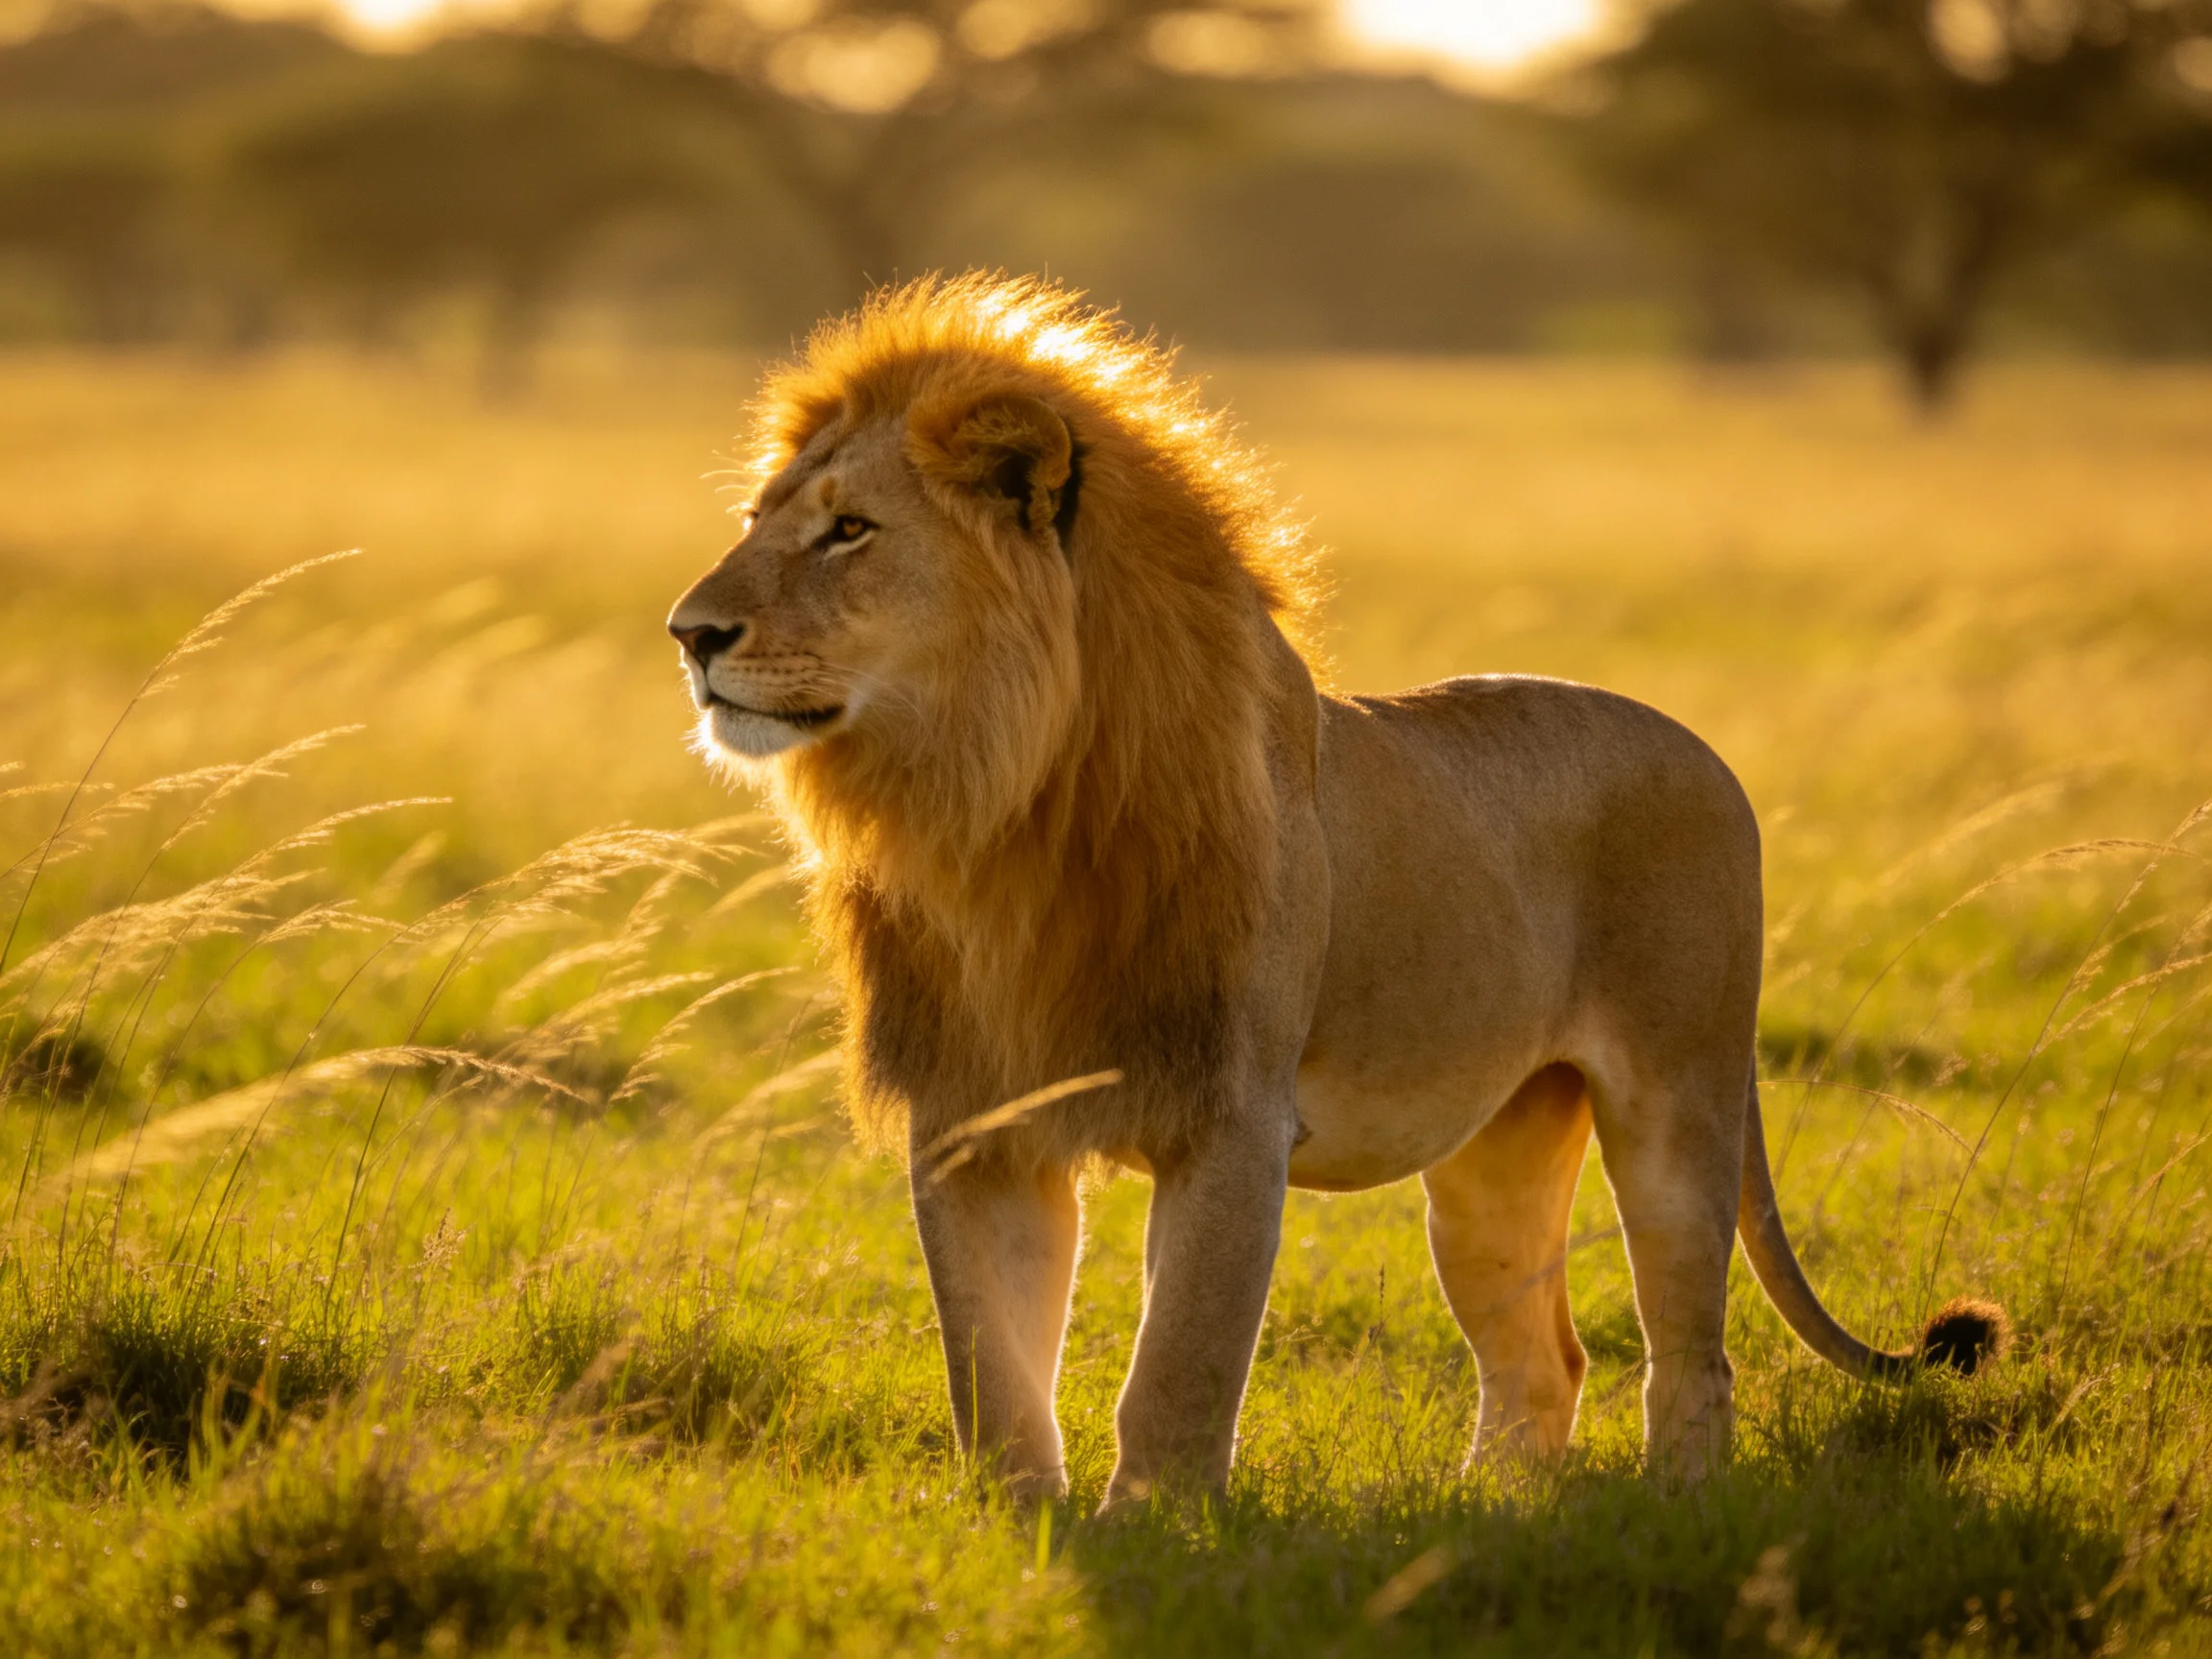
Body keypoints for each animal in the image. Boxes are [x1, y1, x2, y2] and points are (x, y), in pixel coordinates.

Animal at [667, 275, 2006, 1507]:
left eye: (850, 531)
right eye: (755, 519)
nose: (689, 633)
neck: (994, 805)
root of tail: (1707, 753)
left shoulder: (1231, 1117)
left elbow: (1181, 1365)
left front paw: (1152, 1533)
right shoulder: (975, 1118)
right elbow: (989, 1365)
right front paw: (1020, 1529)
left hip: (1679, 1099)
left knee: (1689, 1349)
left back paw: (1675, 1510)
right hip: (1492, 1156)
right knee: (1544, 1359)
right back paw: (1492, 1517)